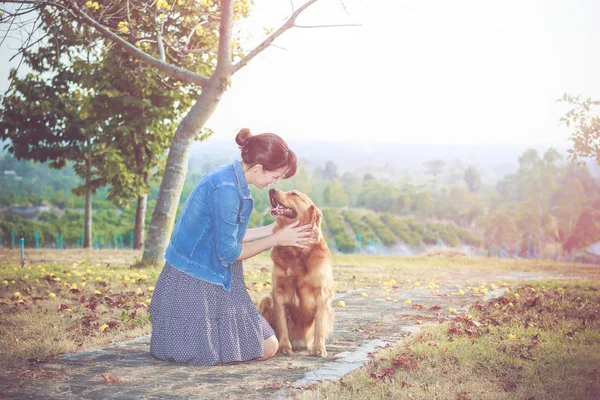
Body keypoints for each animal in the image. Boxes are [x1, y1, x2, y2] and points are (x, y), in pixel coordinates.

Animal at [256, 189, 336, 358]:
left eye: (294, 194)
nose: (271, 190)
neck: (295, 251)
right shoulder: (278, 293)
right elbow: (282, 324)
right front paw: (284, 347)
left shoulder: (323, 295)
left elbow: (319, 326)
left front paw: (319, 348)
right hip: (265, 299)